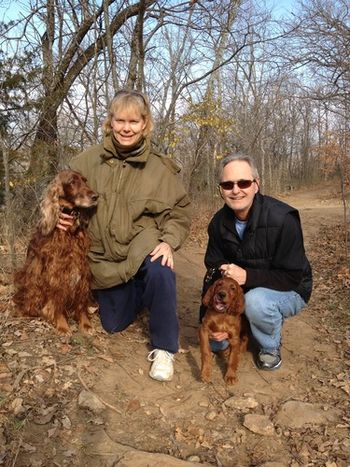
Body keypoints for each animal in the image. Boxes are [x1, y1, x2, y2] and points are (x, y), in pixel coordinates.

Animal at [13, 170, 98, 334]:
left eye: (85, 180)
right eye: (72, 182)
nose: (95, 196)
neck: (69, 231)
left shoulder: (82, 267)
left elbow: (81, 300)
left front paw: (85, 323)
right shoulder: (55, 271)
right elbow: (56, 297)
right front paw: (62, 325)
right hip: (33, 278)